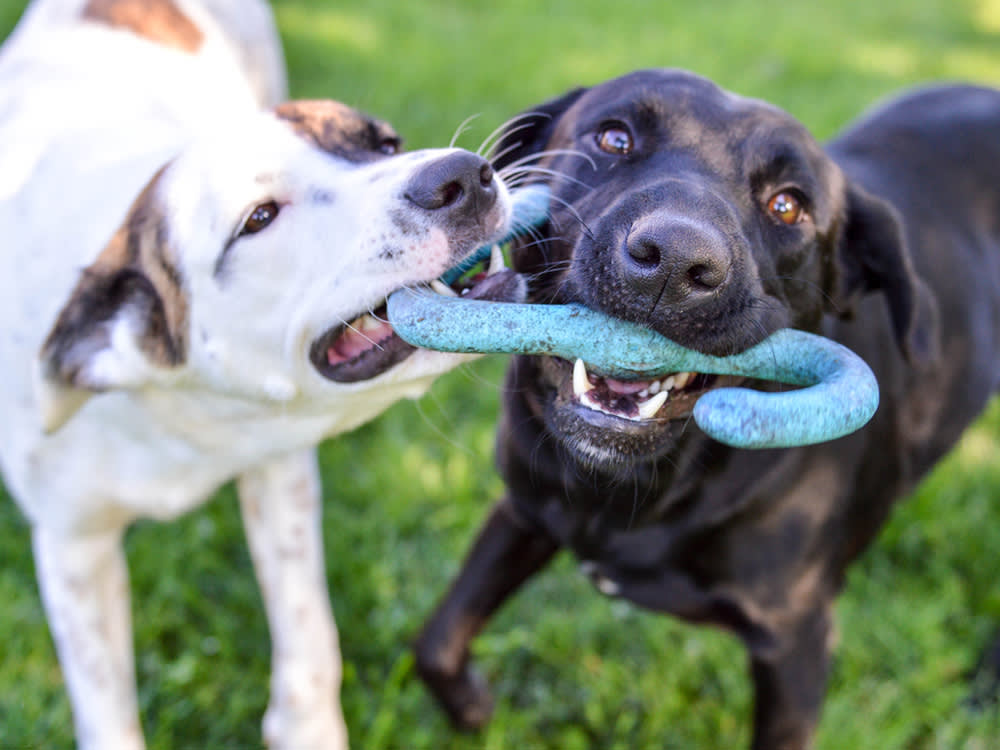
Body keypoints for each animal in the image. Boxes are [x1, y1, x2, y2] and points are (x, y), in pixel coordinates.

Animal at [0, 1, 520, 750]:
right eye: (260, 218)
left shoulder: (280, 467)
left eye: (385, 143)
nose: (462, 174)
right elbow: (105, 705)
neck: (172, 408)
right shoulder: (72, 547)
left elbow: (308, 640)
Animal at [412, 67, 1000, 748]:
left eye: (787, 205)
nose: (672, 261)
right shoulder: (524, 511)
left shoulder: (796, 642)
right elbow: (437, 641)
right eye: (614, 137)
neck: (631, 497)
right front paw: (474, 710)